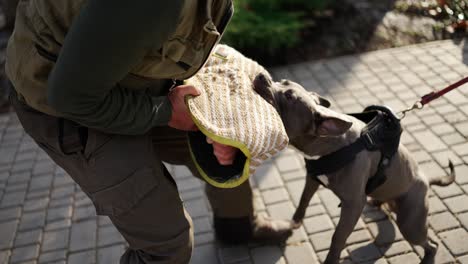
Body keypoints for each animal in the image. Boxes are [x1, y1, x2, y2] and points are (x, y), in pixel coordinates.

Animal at [254, 73, 456, 264]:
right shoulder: (312, 178)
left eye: (289, 96)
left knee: (431, 244)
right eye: (282, 81)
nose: (262, 75)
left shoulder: (353, 204)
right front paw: (293, 223)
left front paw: (331, 260)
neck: (331, 144)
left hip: (410, 224)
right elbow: (303, 202)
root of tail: (425, 180)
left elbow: (338, 237)